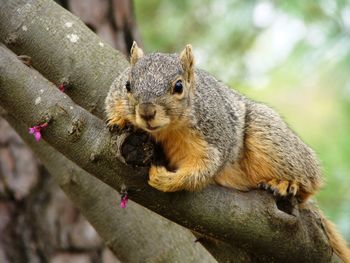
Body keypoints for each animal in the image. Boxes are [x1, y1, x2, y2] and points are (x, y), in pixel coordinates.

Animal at [106, 42, 350, 262]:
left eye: (178, 87)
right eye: (128, 85)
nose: (146, 112)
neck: (165, 130)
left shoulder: (212, 136)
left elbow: (204, 166)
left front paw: (167, 180)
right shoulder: (115, 93)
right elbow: (111, 103)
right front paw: (118, 120)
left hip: (270, 138)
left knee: (310, 183)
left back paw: (286, 183)